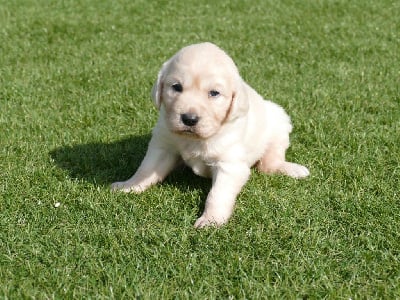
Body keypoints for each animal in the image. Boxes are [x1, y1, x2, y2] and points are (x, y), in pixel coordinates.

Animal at [111, 42, 310, 229]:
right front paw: (129, 185)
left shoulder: (230, 165)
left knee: (269, 164)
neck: (198, 139)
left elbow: (217, 194)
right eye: (176, 87)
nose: (189, 119)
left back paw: (291, 168)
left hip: (280, 123)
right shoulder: (163, 145)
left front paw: (211, 220)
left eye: (214, 93)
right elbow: (145, 170)